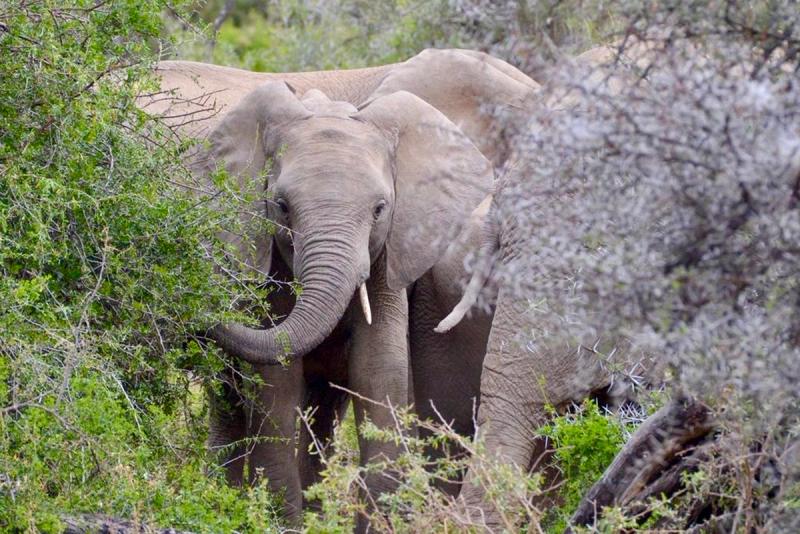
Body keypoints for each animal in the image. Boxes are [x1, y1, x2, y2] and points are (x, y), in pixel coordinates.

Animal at [141, 49, 540, 527]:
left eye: (380, 209)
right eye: (281, 206)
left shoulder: (397, 245)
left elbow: (379, 367)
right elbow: (276, 374)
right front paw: (284, 521)